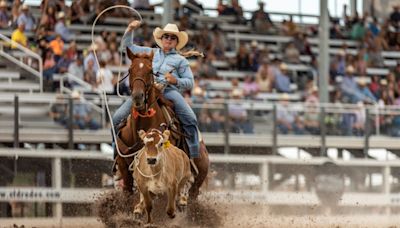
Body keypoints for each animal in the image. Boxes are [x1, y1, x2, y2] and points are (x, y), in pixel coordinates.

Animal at [115, 48, 209, 200]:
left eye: (150, 70)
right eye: (130, 69)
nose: (137, 97)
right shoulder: (124, 166)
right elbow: (127, 191)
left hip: (197, 180)